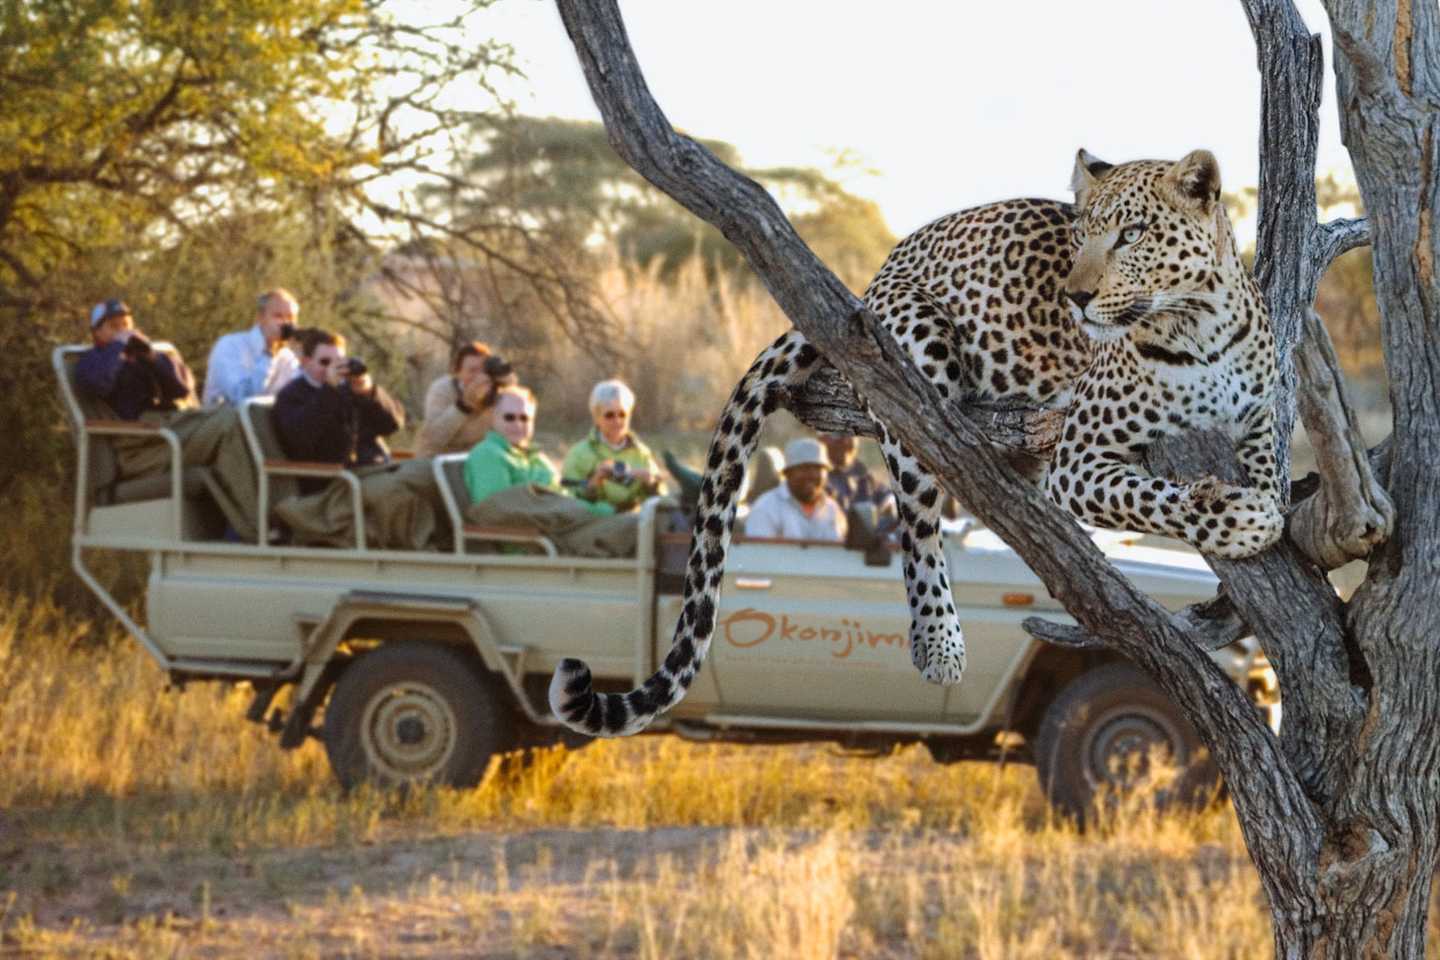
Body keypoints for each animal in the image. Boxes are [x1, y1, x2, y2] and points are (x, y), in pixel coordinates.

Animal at [549, 148, 1285, 738]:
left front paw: (1269, 515)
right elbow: (1161, 497)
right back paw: (939, 640)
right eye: (1082, 238)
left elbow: (1272, 480)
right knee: (920, 500)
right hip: (915, 354)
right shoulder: (1078, 460)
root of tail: (874, 275)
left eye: (1132, 235)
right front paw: (1243, 518)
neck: (1199, 328)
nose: (1076, 296)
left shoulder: (1264, 425)